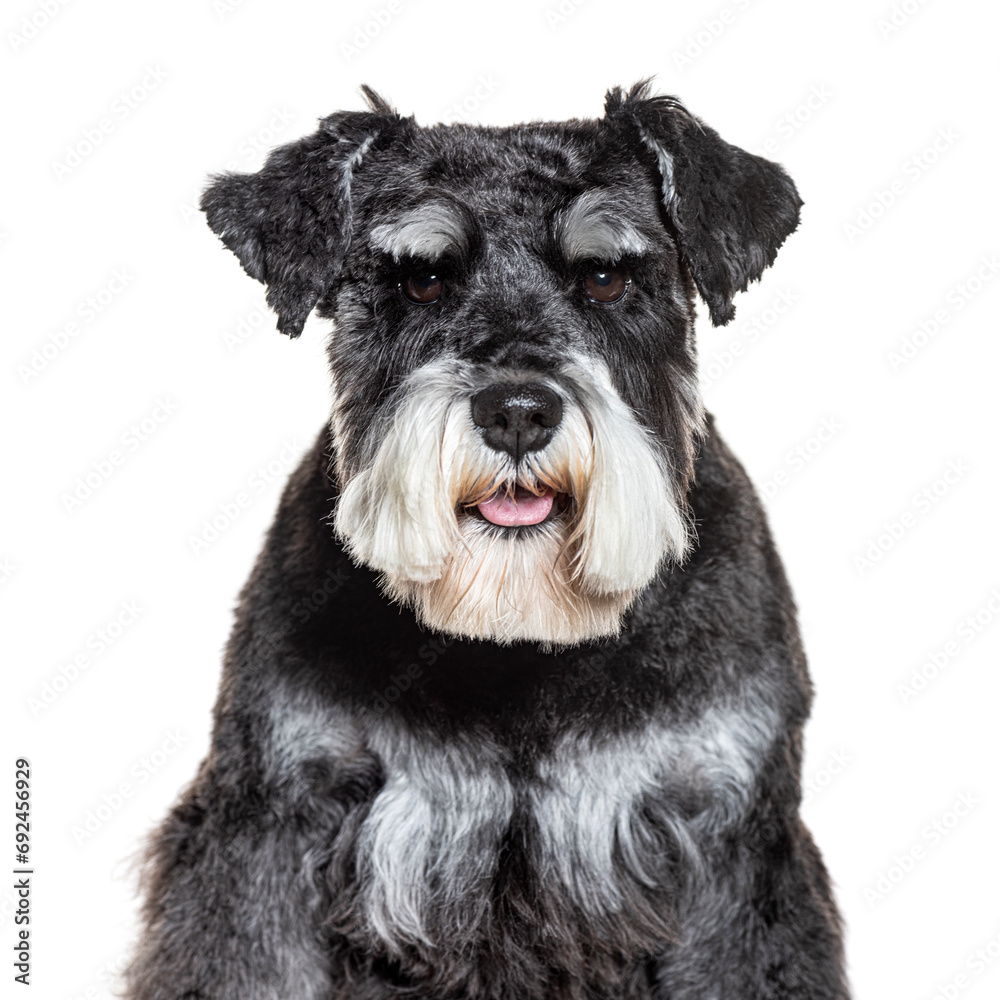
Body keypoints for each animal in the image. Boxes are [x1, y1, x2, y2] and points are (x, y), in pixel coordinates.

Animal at [121, 82, 848, 996]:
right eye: (422, 279)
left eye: (605, 275)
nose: (517, 412)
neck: (519, 643)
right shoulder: (268, 825)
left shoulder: (735, 841)